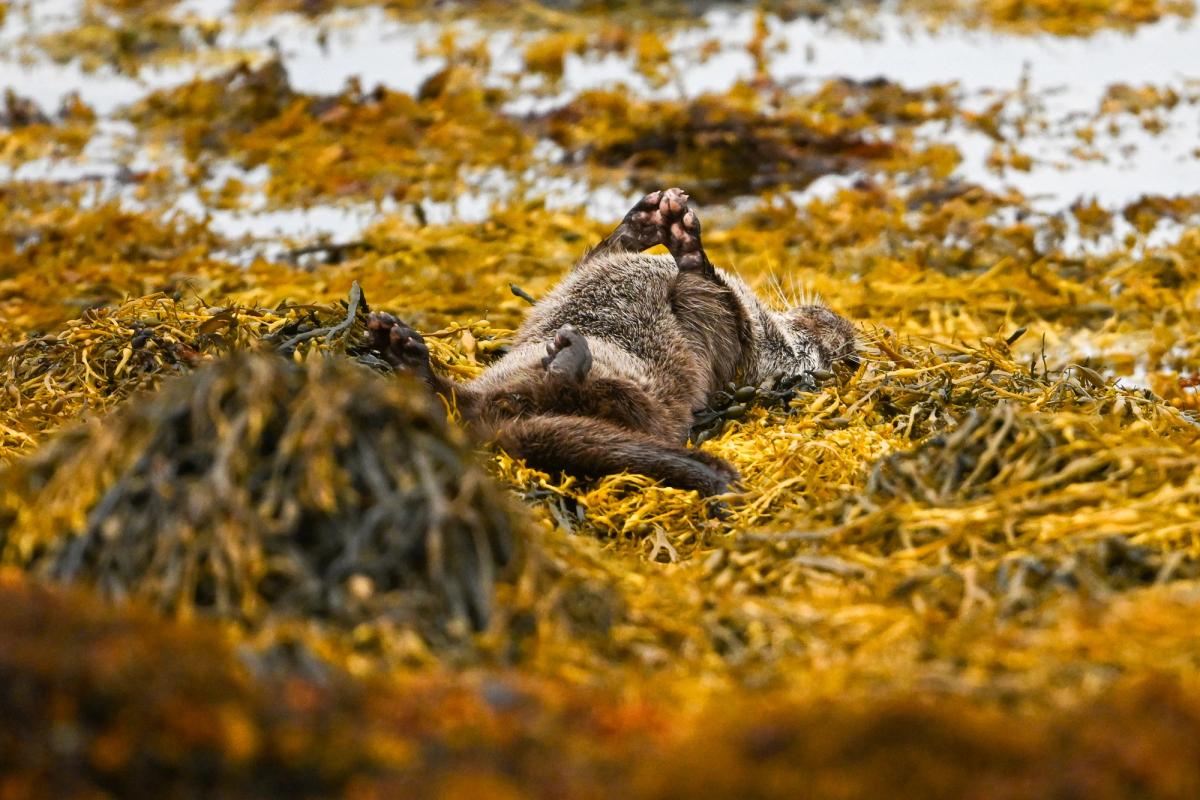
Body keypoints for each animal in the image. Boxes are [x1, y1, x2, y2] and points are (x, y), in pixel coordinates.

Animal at [364, 190, 854, 496]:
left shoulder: (738, 349)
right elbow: (603, 255)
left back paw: (568, 361)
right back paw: (408, 354)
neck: (766, 330)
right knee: (457, 401)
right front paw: (647, 220)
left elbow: (707, 295)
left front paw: (689, 249)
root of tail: (503, 427)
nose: (841, 322)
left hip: (645, 402)